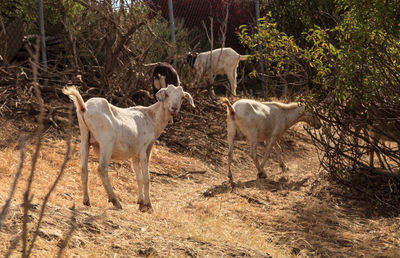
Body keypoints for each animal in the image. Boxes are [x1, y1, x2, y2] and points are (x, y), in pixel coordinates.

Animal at [63, 84, 196, 212]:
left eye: (182, 97)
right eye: (167, 94)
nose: (174, 108)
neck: (151, 118)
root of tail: (84, 108)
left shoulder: (135, 154)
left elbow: (138, 177)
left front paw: (141, 203)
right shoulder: (144, 149)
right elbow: (146, 177)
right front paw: (148, 205)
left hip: (84, 138)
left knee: (84, 169)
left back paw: (86, 201)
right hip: (107, 142)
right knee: (101, 169)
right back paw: (115, 201)